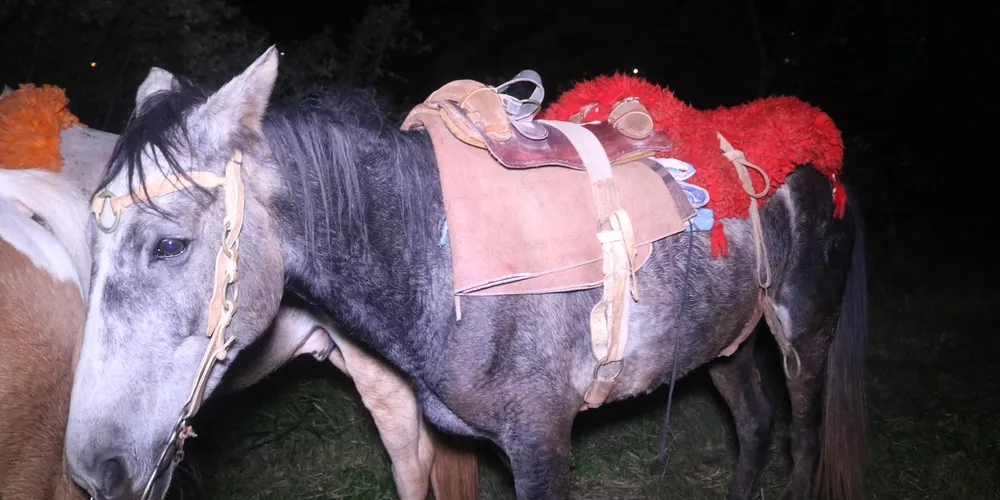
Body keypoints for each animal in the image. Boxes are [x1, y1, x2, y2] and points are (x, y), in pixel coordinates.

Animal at [64, 47, 868, 500]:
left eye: (170, 246)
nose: (95, 470)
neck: (436, 254)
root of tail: (821, 157)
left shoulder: (541, 445)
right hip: (718, 342)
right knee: (756, 425)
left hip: (805, 334)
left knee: (801, 439)